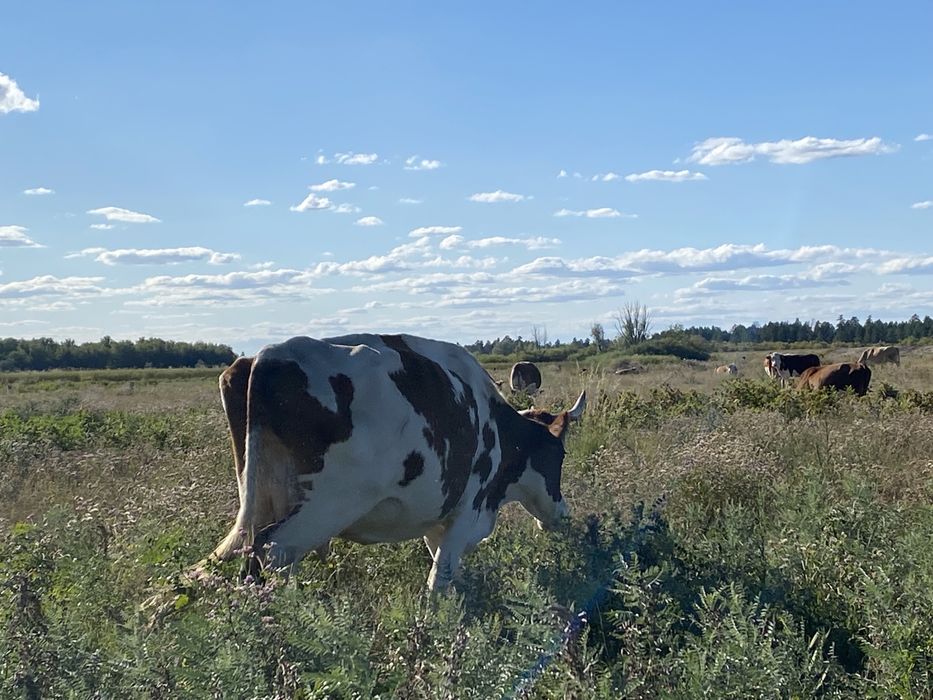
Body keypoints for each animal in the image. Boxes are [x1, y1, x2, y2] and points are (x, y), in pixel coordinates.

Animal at [209, 334, 585, 592]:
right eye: (560, 455)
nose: (563, 514)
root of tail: (268, 356)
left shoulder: (438, 518)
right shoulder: (467, 510)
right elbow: (440, 580)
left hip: (260, 500)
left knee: (251, 561)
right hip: (326, 507)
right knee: (273, 551)